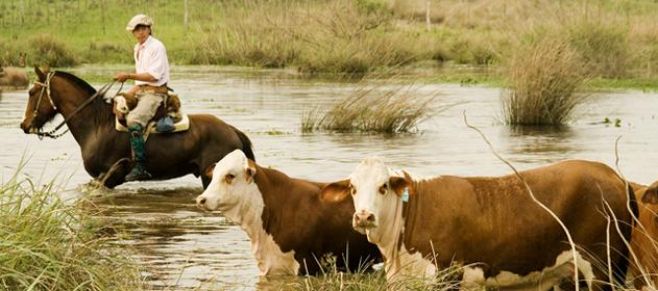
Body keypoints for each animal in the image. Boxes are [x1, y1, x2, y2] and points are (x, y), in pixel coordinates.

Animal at [320, 159, 640, 290]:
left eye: (384, 186)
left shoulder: (446, 275)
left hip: (601, 266)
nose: (364, 216)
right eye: (352, 188)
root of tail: (610, 173)